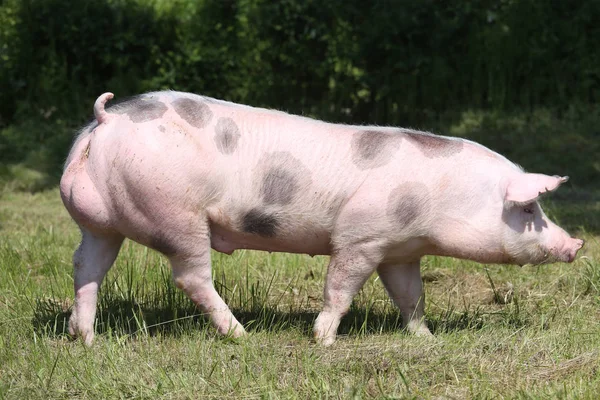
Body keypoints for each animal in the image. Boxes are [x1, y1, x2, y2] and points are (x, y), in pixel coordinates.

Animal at [62, 90, 584, 344]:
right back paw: (242, 335)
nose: (577, 244)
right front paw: (325, 341)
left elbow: (410, 296)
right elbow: (342, 285)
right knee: (190, 276)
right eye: (529, 208)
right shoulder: (362, 236)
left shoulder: (400, 250)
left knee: (85, 266)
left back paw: (85, 338)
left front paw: (427, 338)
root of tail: (107, 119)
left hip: (101, 221)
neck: (443, 198)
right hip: (176, 213)